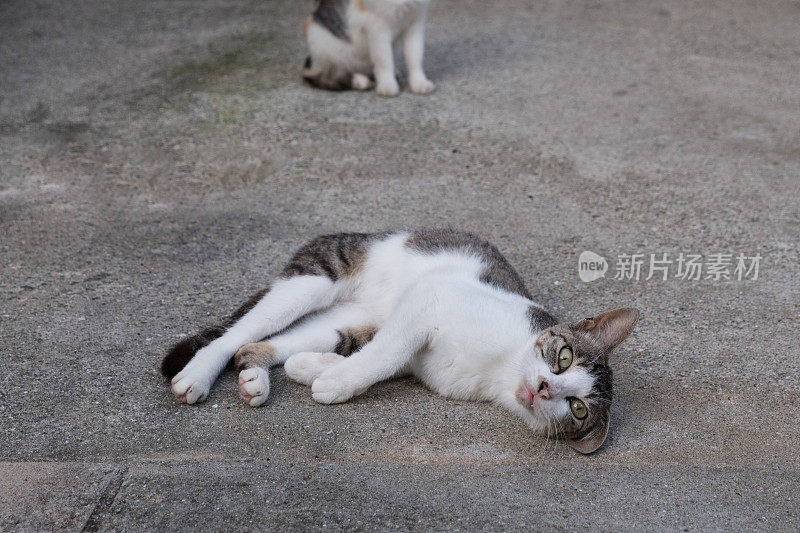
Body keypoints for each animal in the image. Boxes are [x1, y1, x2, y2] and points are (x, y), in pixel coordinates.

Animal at [161, 229, 636, 454]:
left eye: (577, 408)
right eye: (563, 357)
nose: (543, 388)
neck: (501, 371)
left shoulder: (410, 348)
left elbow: (382, 357)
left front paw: (317, 370)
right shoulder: (429, 301)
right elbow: (385, 354)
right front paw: (335, 382)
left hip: (347, 321)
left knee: (273, 340)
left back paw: (255, 376)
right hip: (315, 278)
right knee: (236, 333)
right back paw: (198, 374)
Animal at [304, 0, 434, 94]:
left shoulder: (416, 21)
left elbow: (415, 56)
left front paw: (418, 82)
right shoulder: (378, 24)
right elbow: (384, 59)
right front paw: (387, 83)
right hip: (323, 43)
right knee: (328, 74)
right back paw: (359, 80)